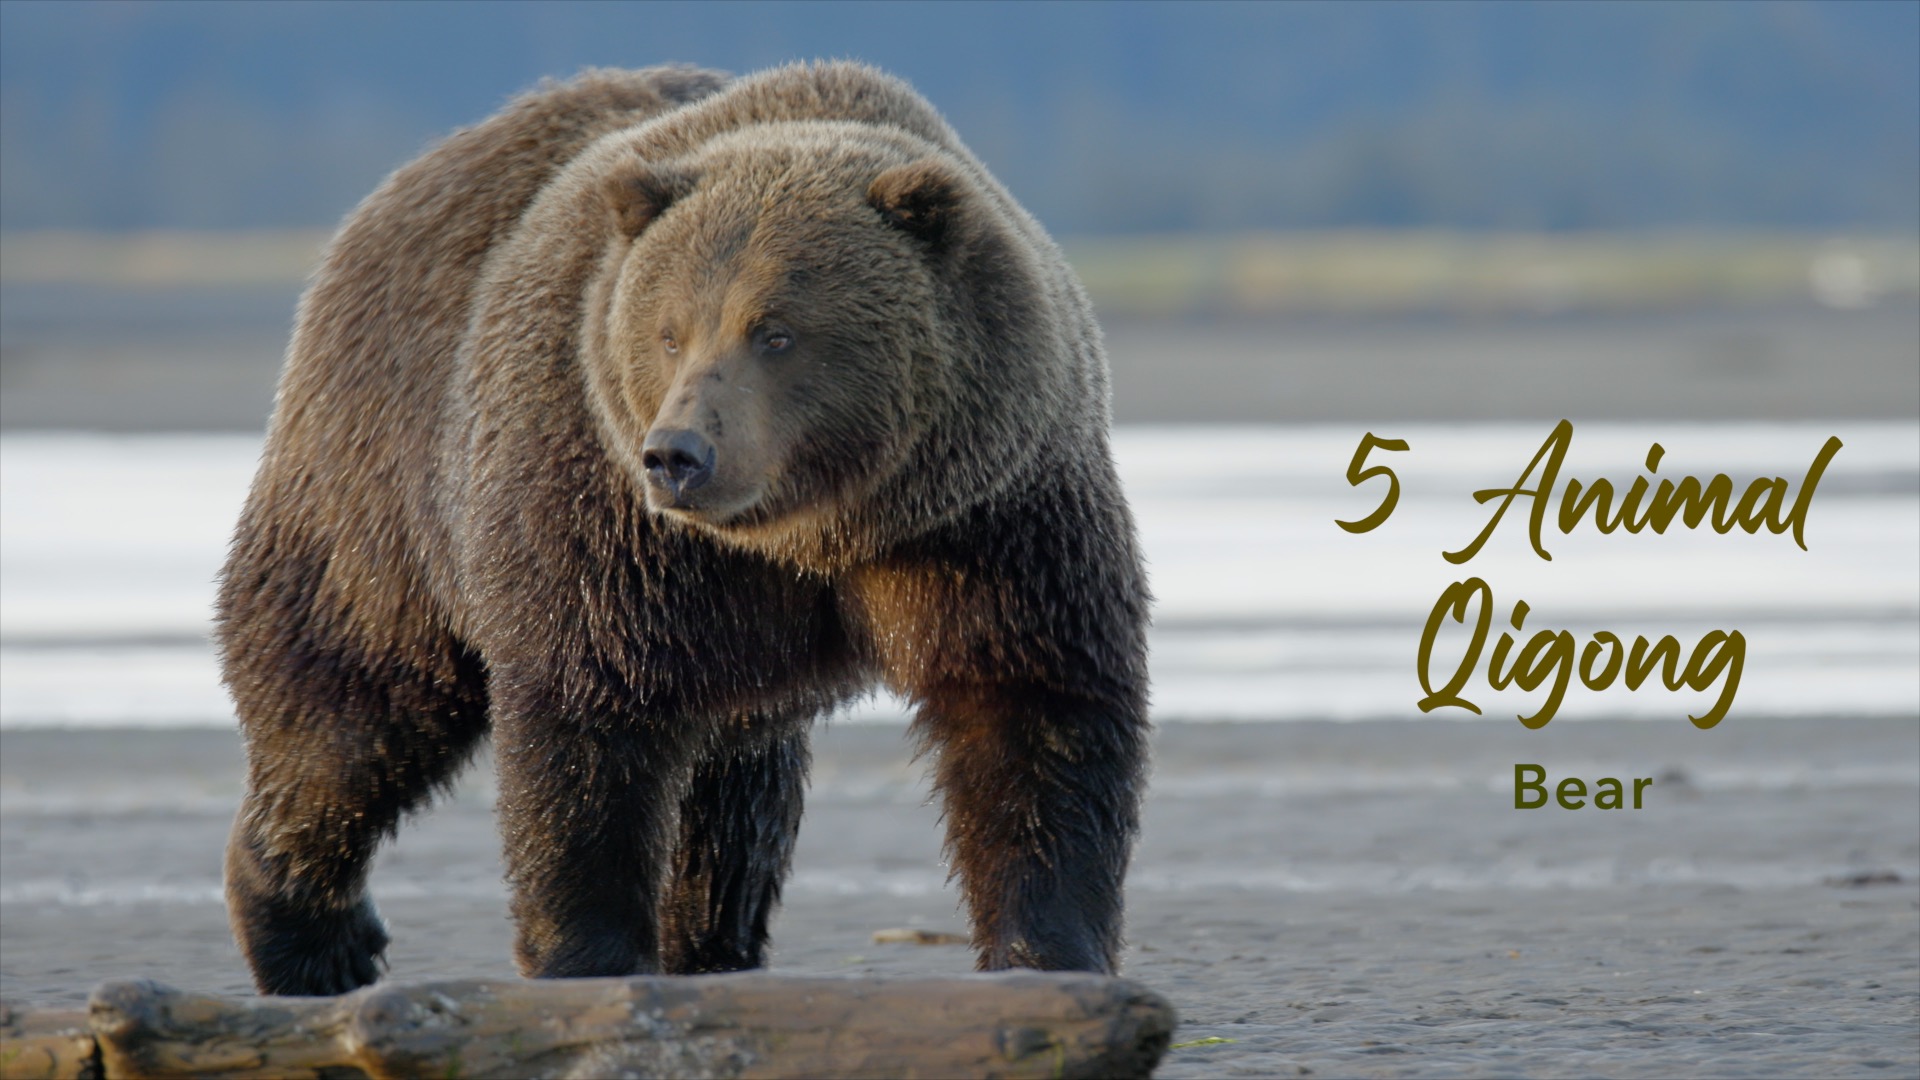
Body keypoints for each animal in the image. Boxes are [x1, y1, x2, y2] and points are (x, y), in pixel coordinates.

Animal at [218, 60, 1150, 997]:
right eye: (668, 332)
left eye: (775, 331)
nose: (678, 454)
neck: (811, 533)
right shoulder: (611, 523)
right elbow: (590, 720)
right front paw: (588, 957)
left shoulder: (983, 518)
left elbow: (1031, 706)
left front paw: (1047, 953)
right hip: (385, 478)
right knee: (353, 709)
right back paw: (314, 934)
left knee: (733, 801)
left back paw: (711, 942)